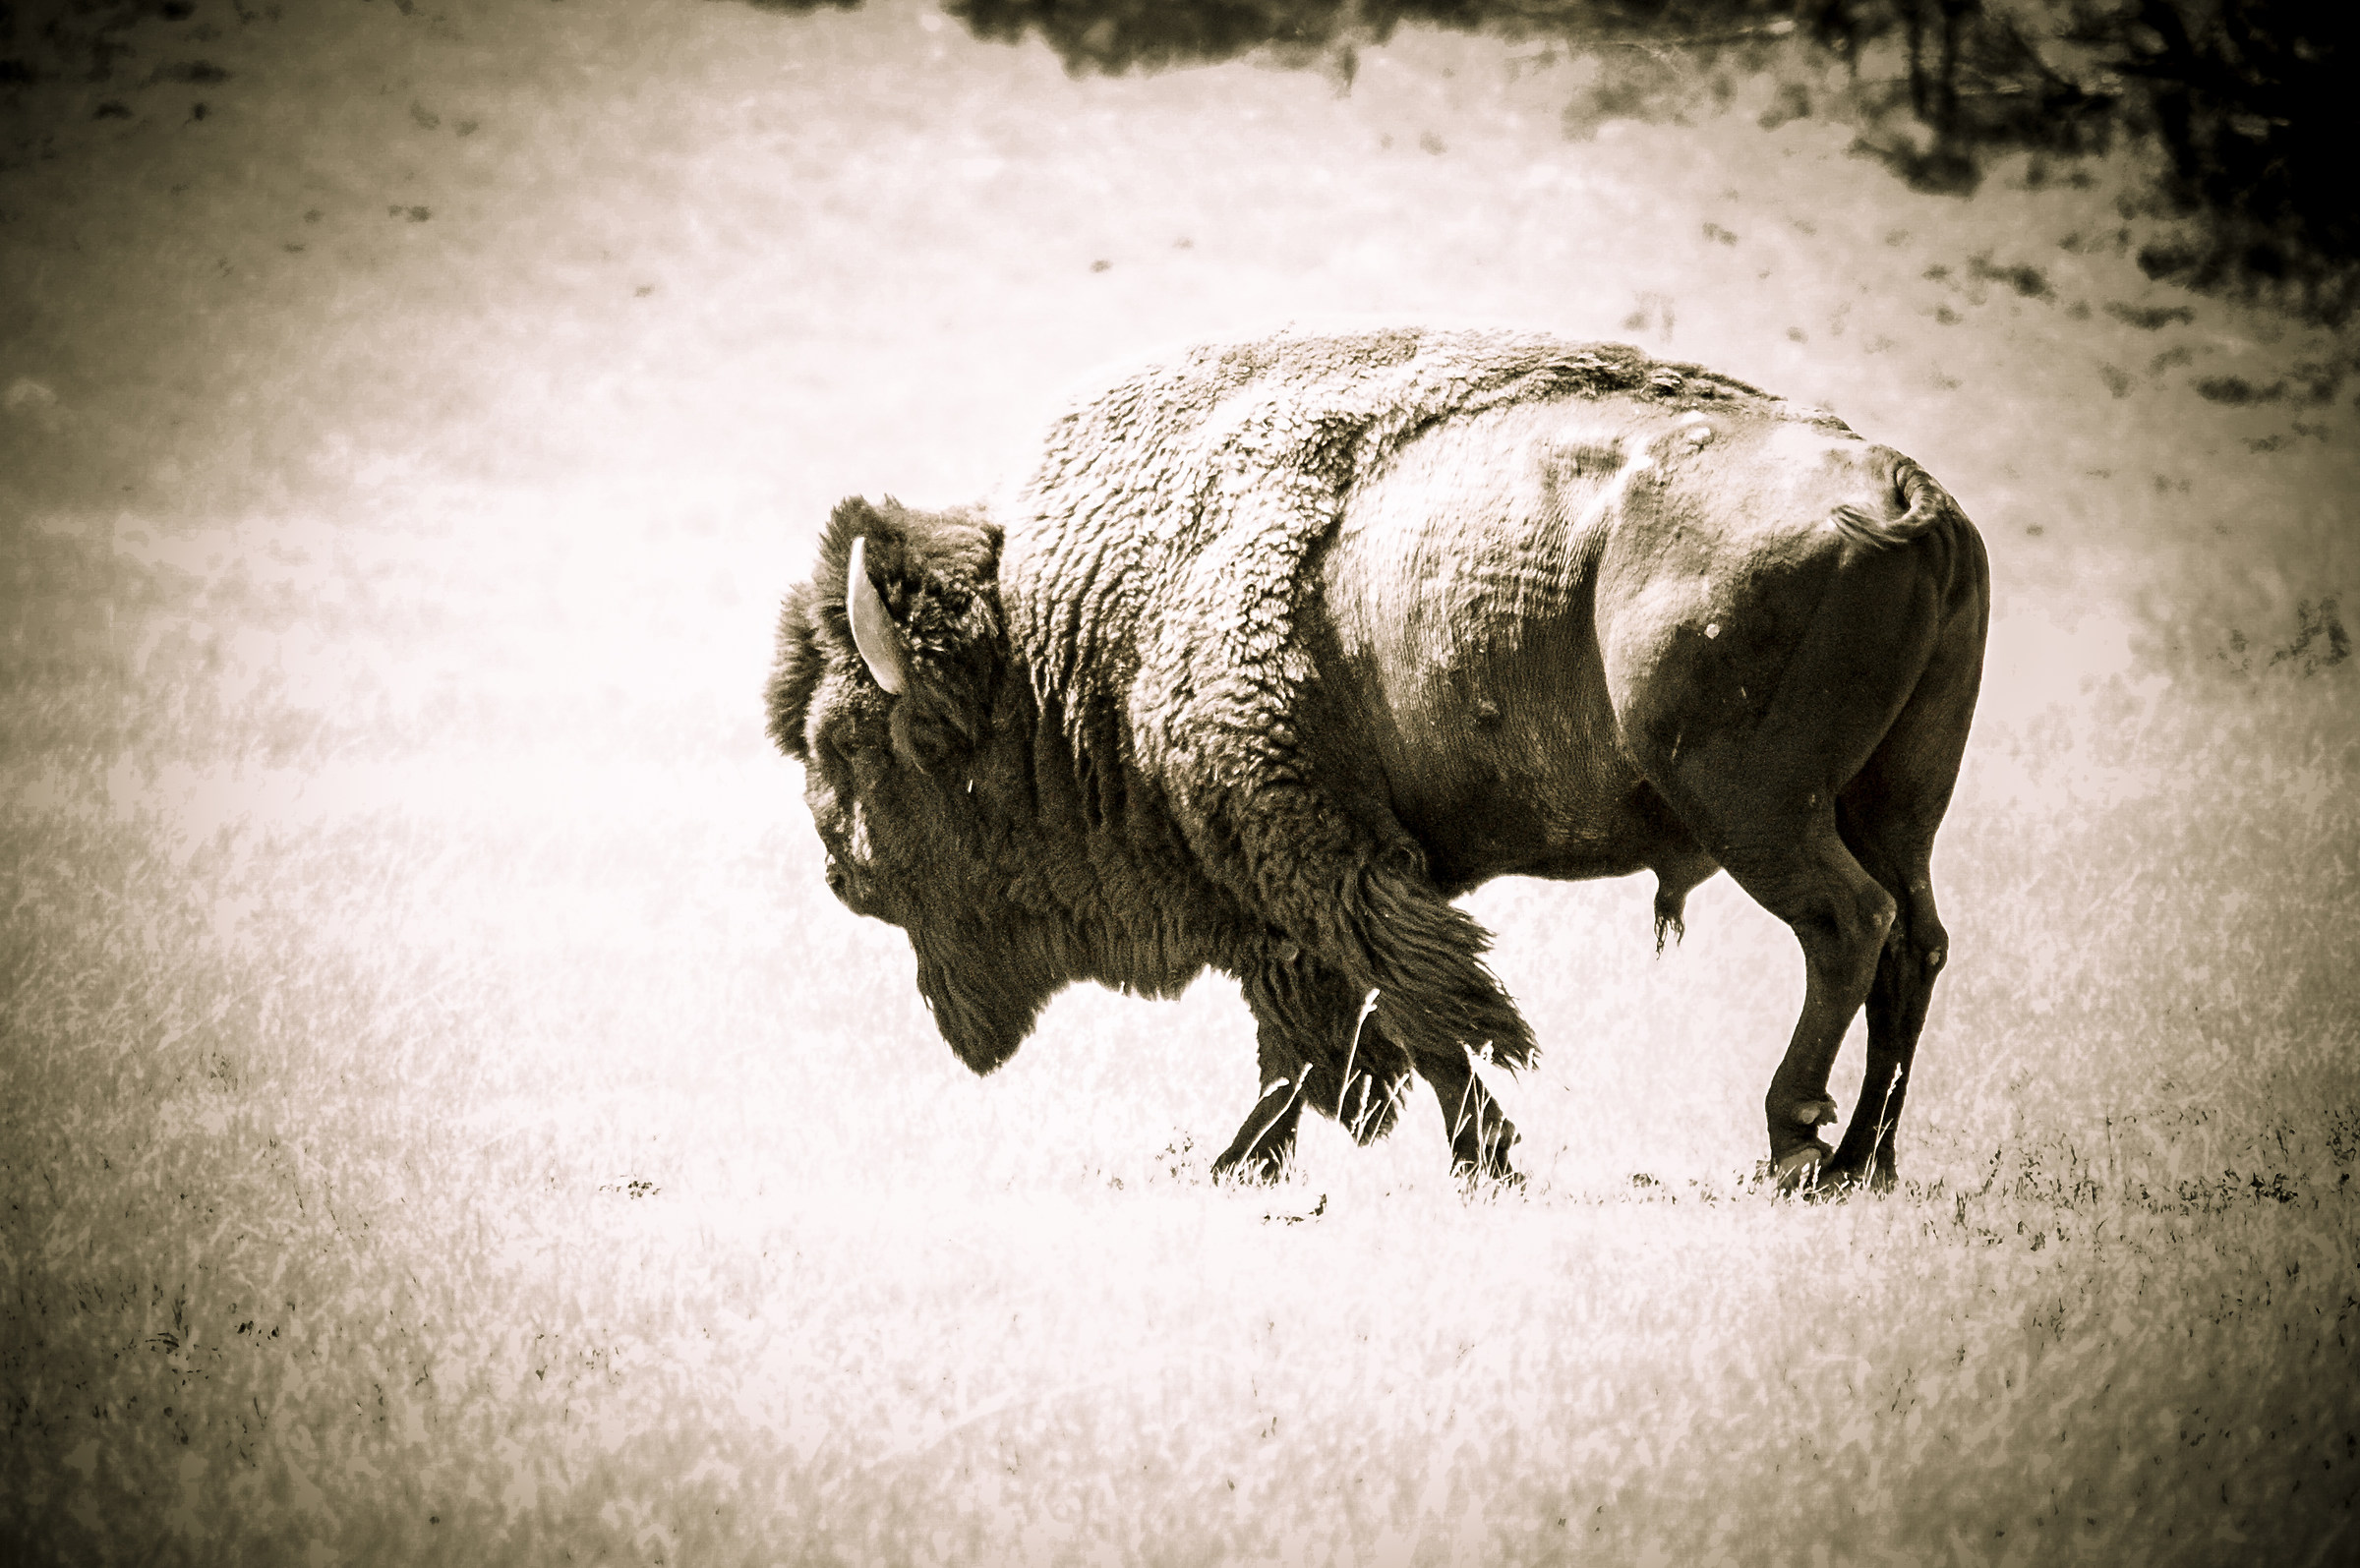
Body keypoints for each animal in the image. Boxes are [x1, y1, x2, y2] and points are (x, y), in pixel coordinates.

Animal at [767, 327, 1988, 1190]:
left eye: (849, 740)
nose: (837, 869)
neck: (1062, 635)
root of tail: (1907, 493)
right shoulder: (1296, 887)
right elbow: (1335, 1032)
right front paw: (1262, 1164)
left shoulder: (1316, 863)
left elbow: (1401, 1012)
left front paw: (1472, 1157)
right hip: (1895, 802)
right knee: (1914, 943)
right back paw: (1864, 1160)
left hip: (1754, 807)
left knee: (1847, 924)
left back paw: (1792, 1145)